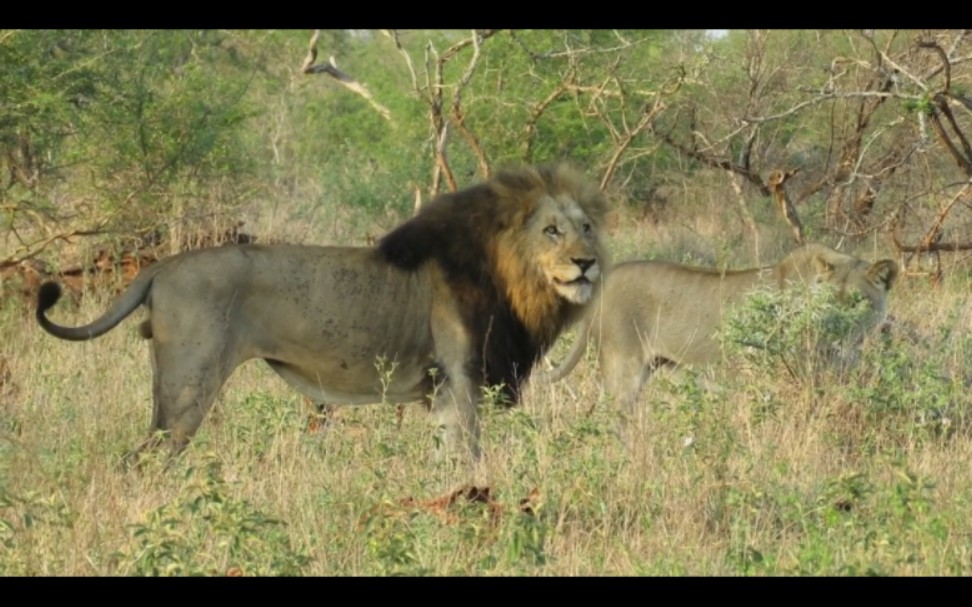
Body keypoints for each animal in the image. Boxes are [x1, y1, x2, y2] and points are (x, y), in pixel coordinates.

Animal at [38, 164, 608, 464]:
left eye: (586, 228)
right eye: (551, 231)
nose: (588, 262)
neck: (515, 282)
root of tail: (162, 266)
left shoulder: (442, 395)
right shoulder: (460, 384)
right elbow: (468, 462)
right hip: (188, 385)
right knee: (146, 458)